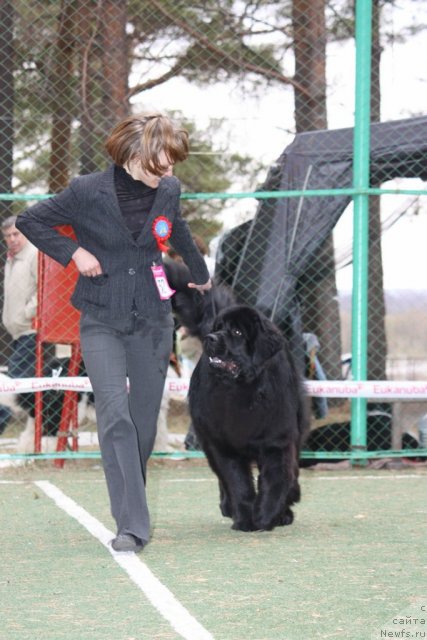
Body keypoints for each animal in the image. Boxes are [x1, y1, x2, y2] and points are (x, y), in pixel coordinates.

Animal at [188, 304, 308, 528]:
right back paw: (228, 508)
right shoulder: (222, 444)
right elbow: (236, 482)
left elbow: (275, 480)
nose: (210, 338)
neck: (242, 390)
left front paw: (266, 517)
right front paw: (245, 519)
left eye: (237, 332)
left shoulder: (276, 440)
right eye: (218, 327)